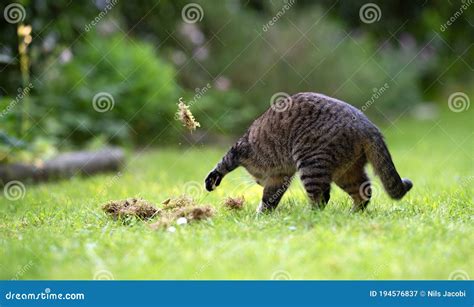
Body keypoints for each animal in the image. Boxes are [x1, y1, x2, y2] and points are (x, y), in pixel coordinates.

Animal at [204, 91, 412, 213]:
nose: (257, 181)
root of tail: (368, 125)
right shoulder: (279, 177)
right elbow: (269, 199)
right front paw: (263, 215)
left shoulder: (240, 149)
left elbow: (222, 164)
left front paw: (212, 181)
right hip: (346, 172)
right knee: (364, 191)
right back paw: (353, 213)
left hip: (311, 164)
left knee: (321, 198)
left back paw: (310, 215)